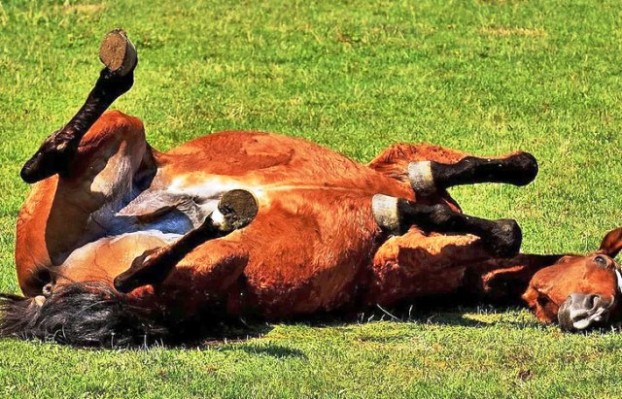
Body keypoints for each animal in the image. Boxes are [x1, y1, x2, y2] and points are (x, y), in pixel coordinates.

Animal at [2, 29, 620, 346]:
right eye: (603, 262)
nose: (592, 314)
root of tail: (44, 285)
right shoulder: (398, 168)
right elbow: (471, 194)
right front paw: (430, 207)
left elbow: (465, 212)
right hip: (124, 140)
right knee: (44, 164)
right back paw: (118, 70)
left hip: (205, 266)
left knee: (138, 270)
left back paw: (222, 211)